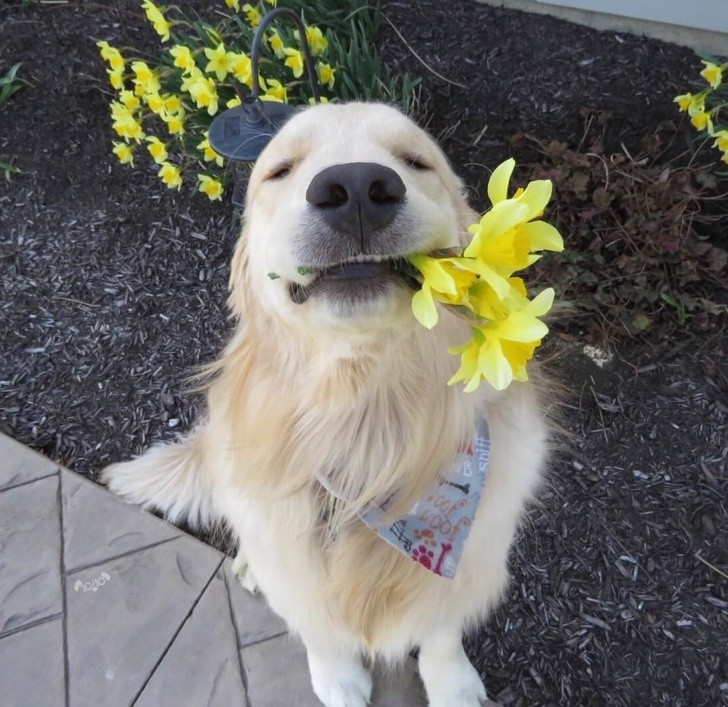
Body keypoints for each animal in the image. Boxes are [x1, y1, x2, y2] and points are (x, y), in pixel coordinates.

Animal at [104, 102, 552, 704]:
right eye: (281, 170)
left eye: (415, 160)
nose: (357, 187)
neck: (365, 428)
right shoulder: (294, 562)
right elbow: (315, 618)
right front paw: (337, 678)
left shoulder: (473, 554)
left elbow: (440, 628)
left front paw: (453, 683)